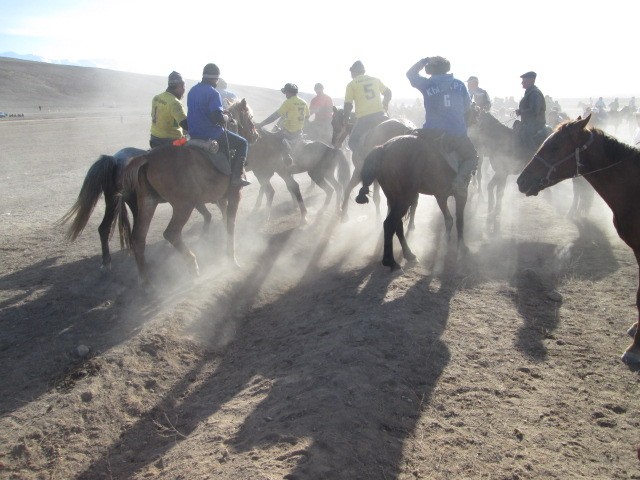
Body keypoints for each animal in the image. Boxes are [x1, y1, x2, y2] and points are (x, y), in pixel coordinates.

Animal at [58, 147, 215, 272]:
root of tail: (114, 160)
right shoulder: (188, 198)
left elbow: (205, 212)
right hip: (134, 203)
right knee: (134, 232)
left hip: (113, 202)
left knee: (105, 228)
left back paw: (107, 261)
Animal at [354, 134, 468, 270]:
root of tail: (383, 149)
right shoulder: (461, 194)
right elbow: (459, 220)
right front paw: (461, 248)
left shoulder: (441, 195)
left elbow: (449, 219)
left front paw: (446, 243)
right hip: (404, 198)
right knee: (389, 223)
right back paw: (390, 261)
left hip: (394, 197)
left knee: (397, 225)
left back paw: (409, 254)